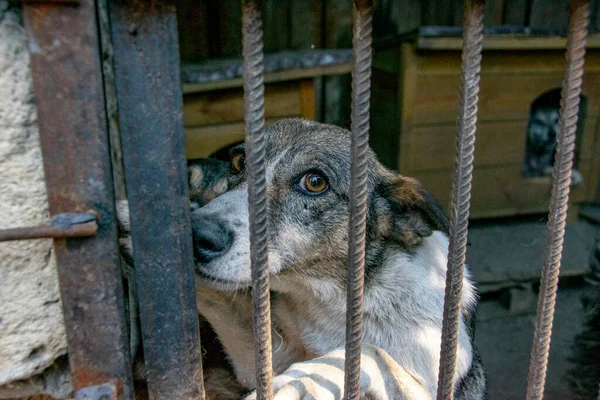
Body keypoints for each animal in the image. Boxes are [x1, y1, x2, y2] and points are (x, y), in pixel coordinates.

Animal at [119, 117, 486, 398]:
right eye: (239, 162)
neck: (335, 302)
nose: (198, 235)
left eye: (314, 182)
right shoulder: (260, 360)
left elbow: (372, 354)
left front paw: (300, 382)